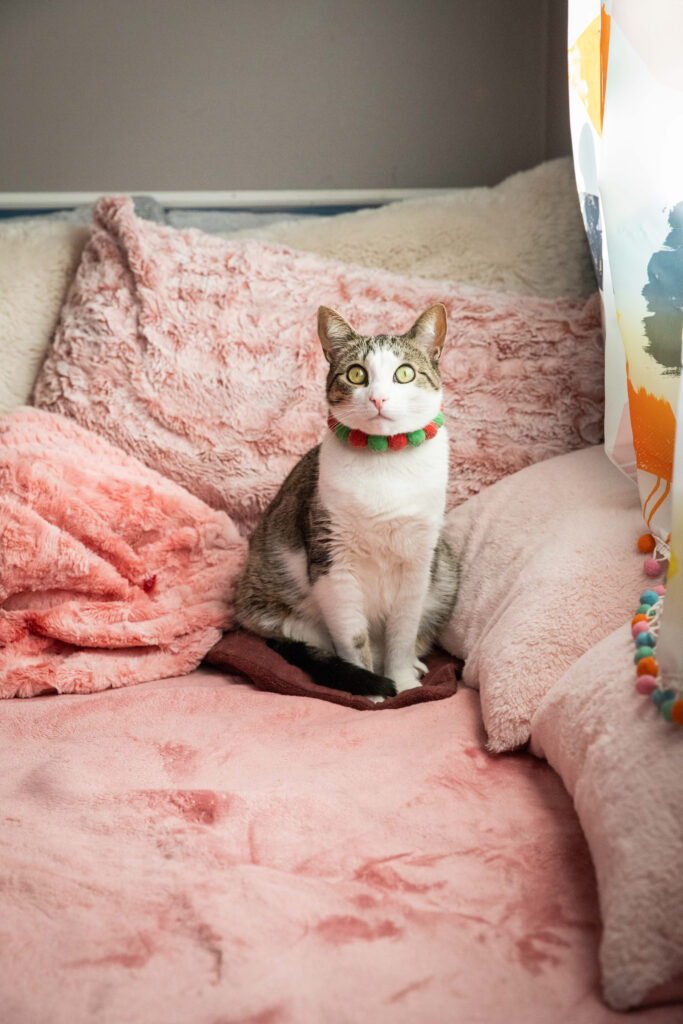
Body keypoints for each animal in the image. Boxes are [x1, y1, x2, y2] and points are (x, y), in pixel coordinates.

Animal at [233, 303, 458, 700]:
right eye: (356, 374)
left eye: (404, 373)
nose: (379, 399)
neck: (385, 460)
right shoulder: (332, 558)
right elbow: (352, 635)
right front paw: (371, 689)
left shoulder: (419, 560)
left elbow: (403, 632)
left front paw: (403, 681)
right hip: (277, 610)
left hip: (445, 569)